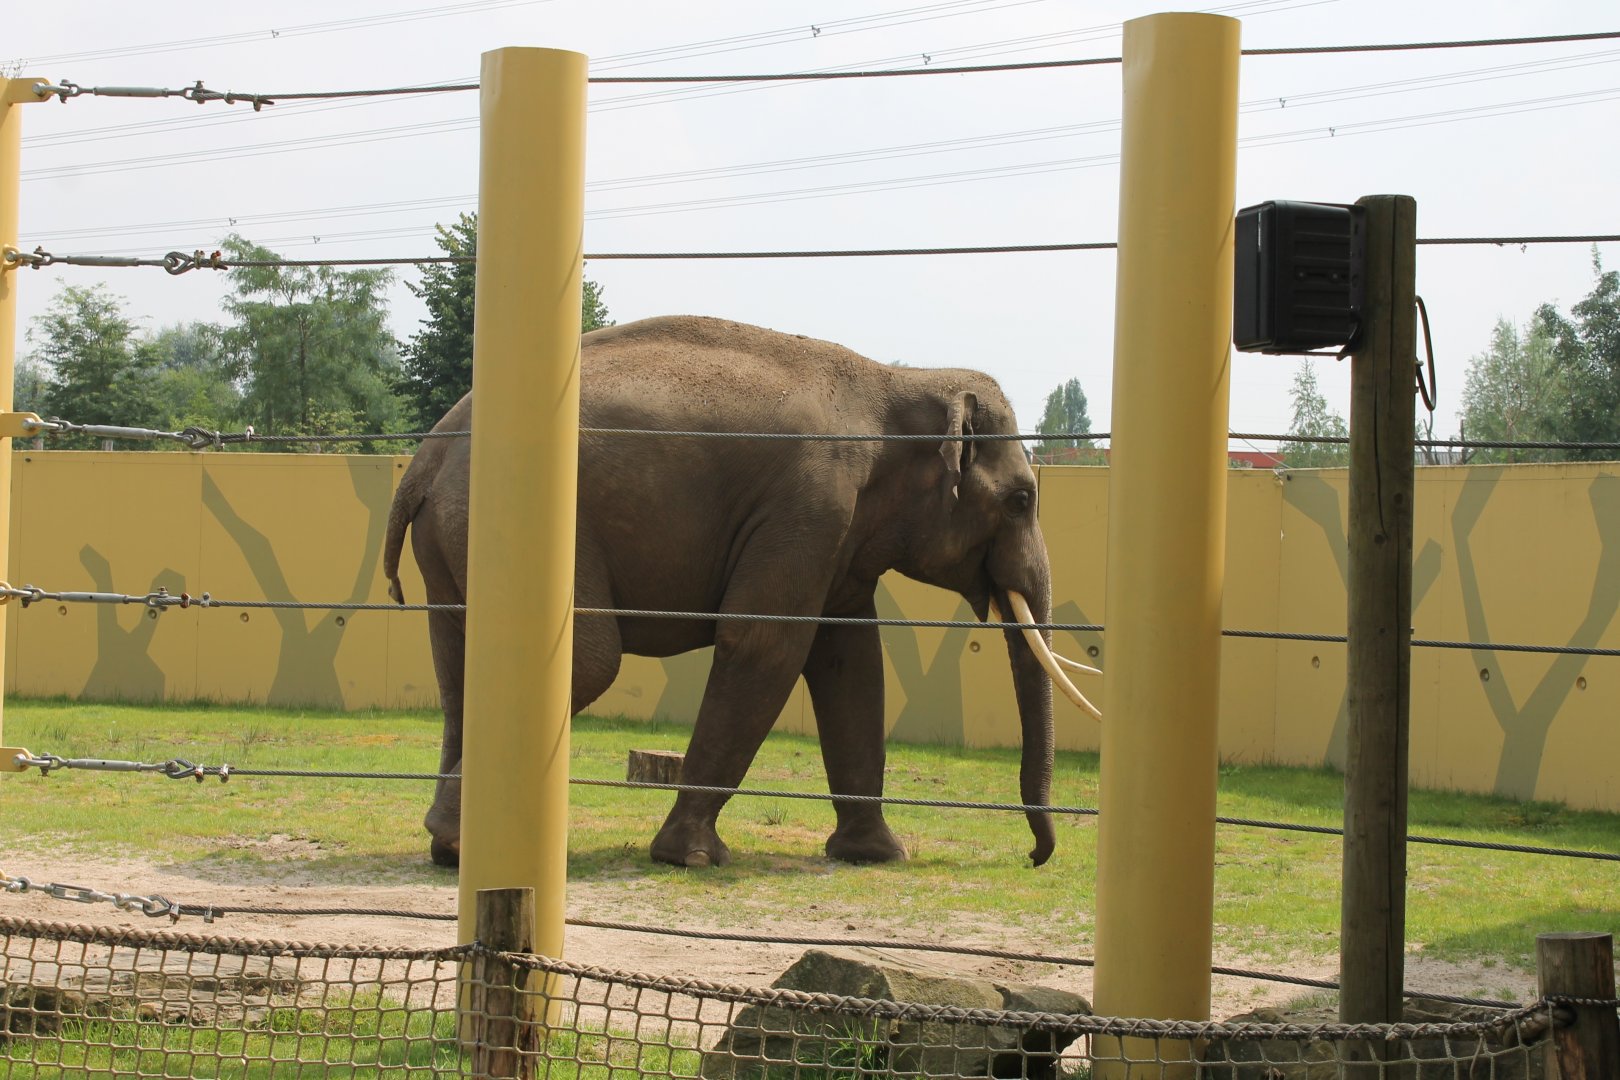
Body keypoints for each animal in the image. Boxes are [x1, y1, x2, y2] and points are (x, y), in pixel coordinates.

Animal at [383, 315, 1097, 870]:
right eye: (1022, 499)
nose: (1034, 857)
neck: (895, 383)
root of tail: (423, 459)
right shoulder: (810, 501)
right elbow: (766, 644)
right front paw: (692, 858)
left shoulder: (837, 533)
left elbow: (850, 660)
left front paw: (878, 856)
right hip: (519, 520)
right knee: (588, 661)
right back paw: (461, 841)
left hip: (450, 541)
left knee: (457, 669)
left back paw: (449, 847)